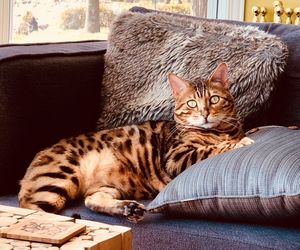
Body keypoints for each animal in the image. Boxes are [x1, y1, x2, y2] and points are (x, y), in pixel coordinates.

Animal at [18, 63, 253, 223]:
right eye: (191, 103)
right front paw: (239, 142)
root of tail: (36, 158)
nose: (205, 114)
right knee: (30, 209)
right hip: (60, 177)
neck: (219, 130)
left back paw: (126, 208)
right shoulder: (176, 157)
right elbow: (209, 149)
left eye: (214, 99)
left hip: (106, 186)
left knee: (91, 200)